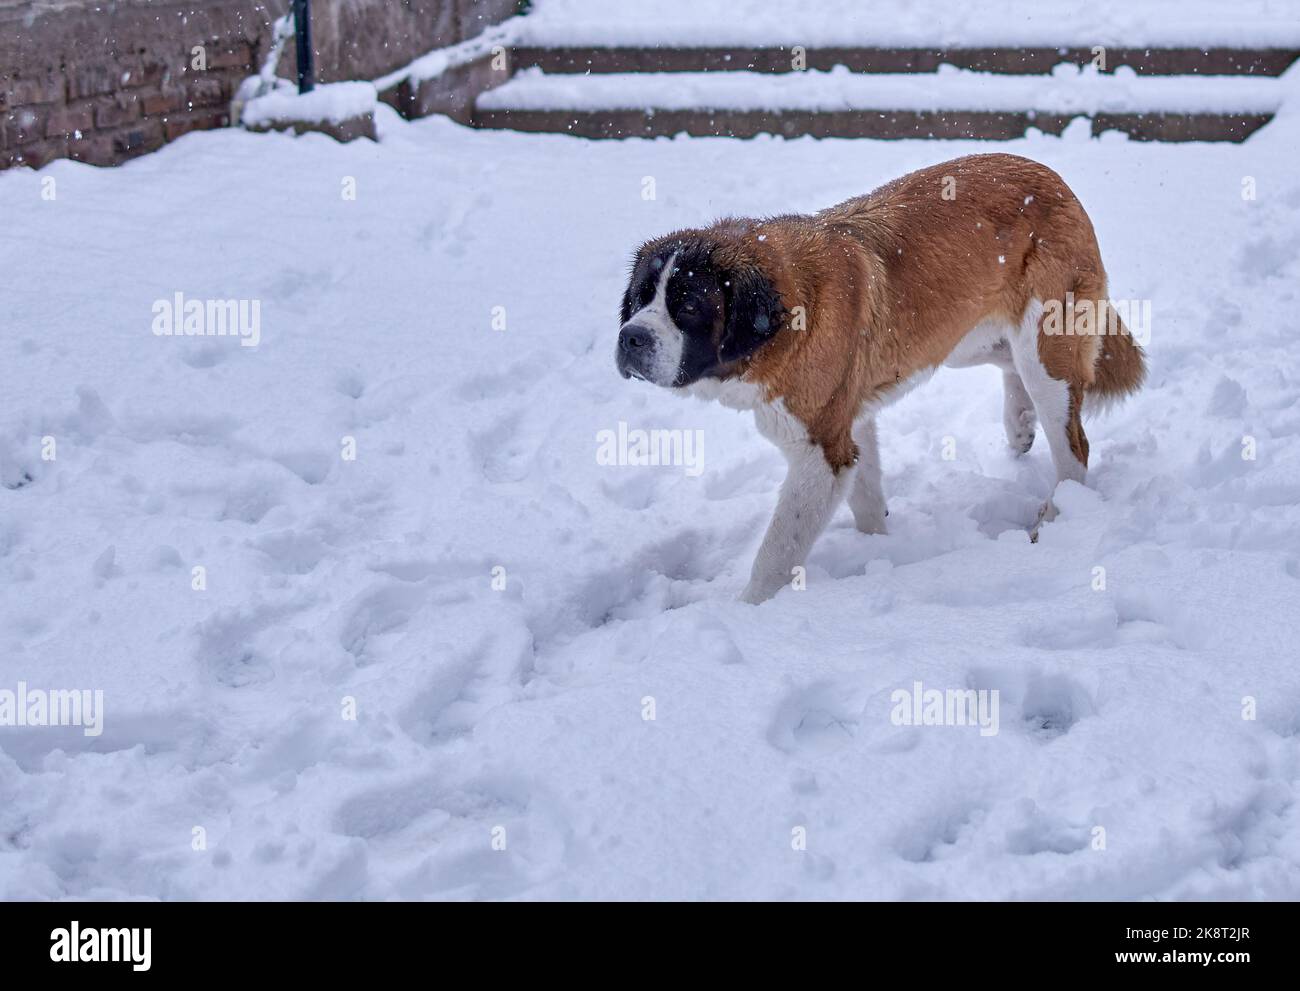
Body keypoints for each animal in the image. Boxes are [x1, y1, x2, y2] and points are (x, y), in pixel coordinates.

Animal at [613, 152, 1144, 603]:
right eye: (639, 299)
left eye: (687, 307)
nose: (630, 337)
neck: (788, 310)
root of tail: (1052, 176)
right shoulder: (851, 422)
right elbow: (867, 498)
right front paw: (877, 551)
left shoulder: (820, 451)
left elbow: (777, 548)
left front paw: (748, 611)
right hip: (961, 335)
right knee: (1010, 364)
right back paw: (1019, 425)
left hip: (1045, 345)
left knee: (1073, 447)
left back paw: (1052, 519)